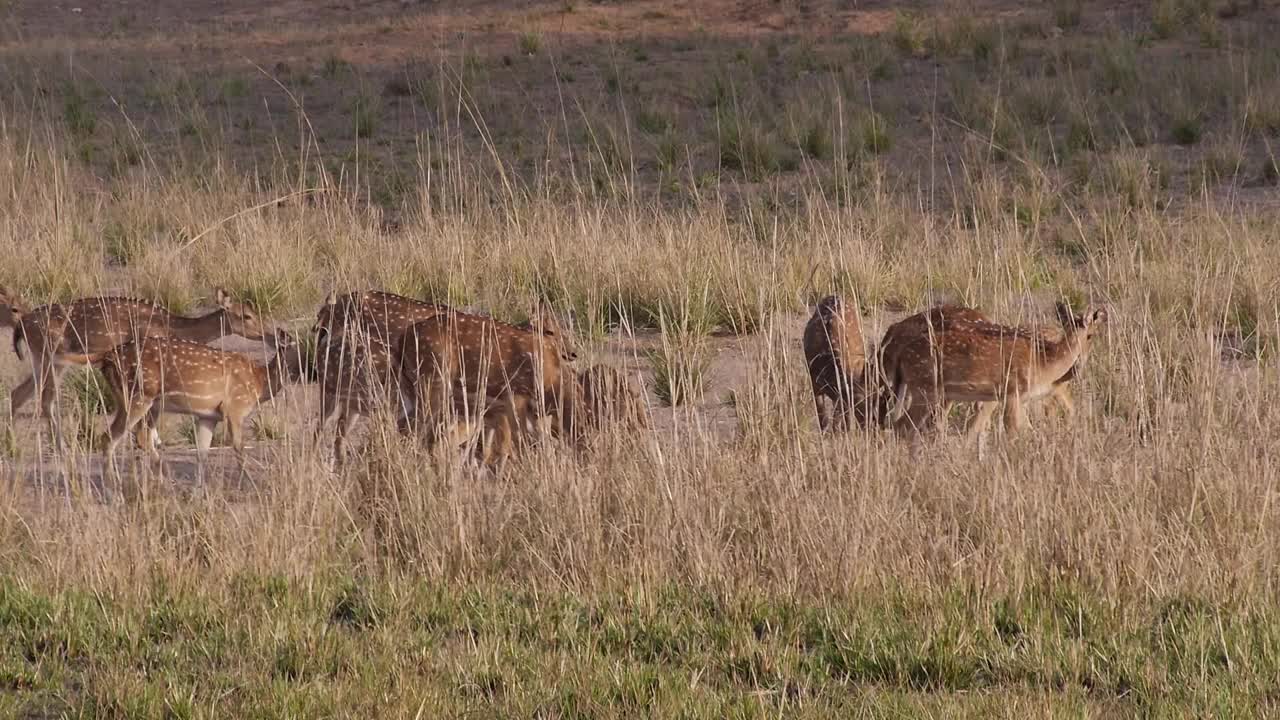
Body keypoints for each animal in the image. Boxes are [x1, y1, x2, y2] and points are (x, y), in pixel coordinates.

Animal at [1, 285, 272, 443]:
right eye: (246, 316)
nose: (272, 333)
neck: (172, 326)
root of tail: (21, 325)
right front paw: (152, 441)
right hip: (50, 355)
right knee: (45, 400)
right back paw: (60, 445)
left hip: (44, 360)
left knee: (18, 394)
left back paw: (12, 442)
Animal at [65, 327, 312, 468]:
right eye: (300, 349)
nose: (312, 368)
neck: (259, 382)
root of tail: (108, 356)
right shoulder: (234, 408)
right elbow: (238, 448)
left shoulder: (209, 415)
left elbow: (202, 453)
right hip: (138, 395)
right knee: (112, 437)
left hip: (145, 402)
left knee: (135, 437)